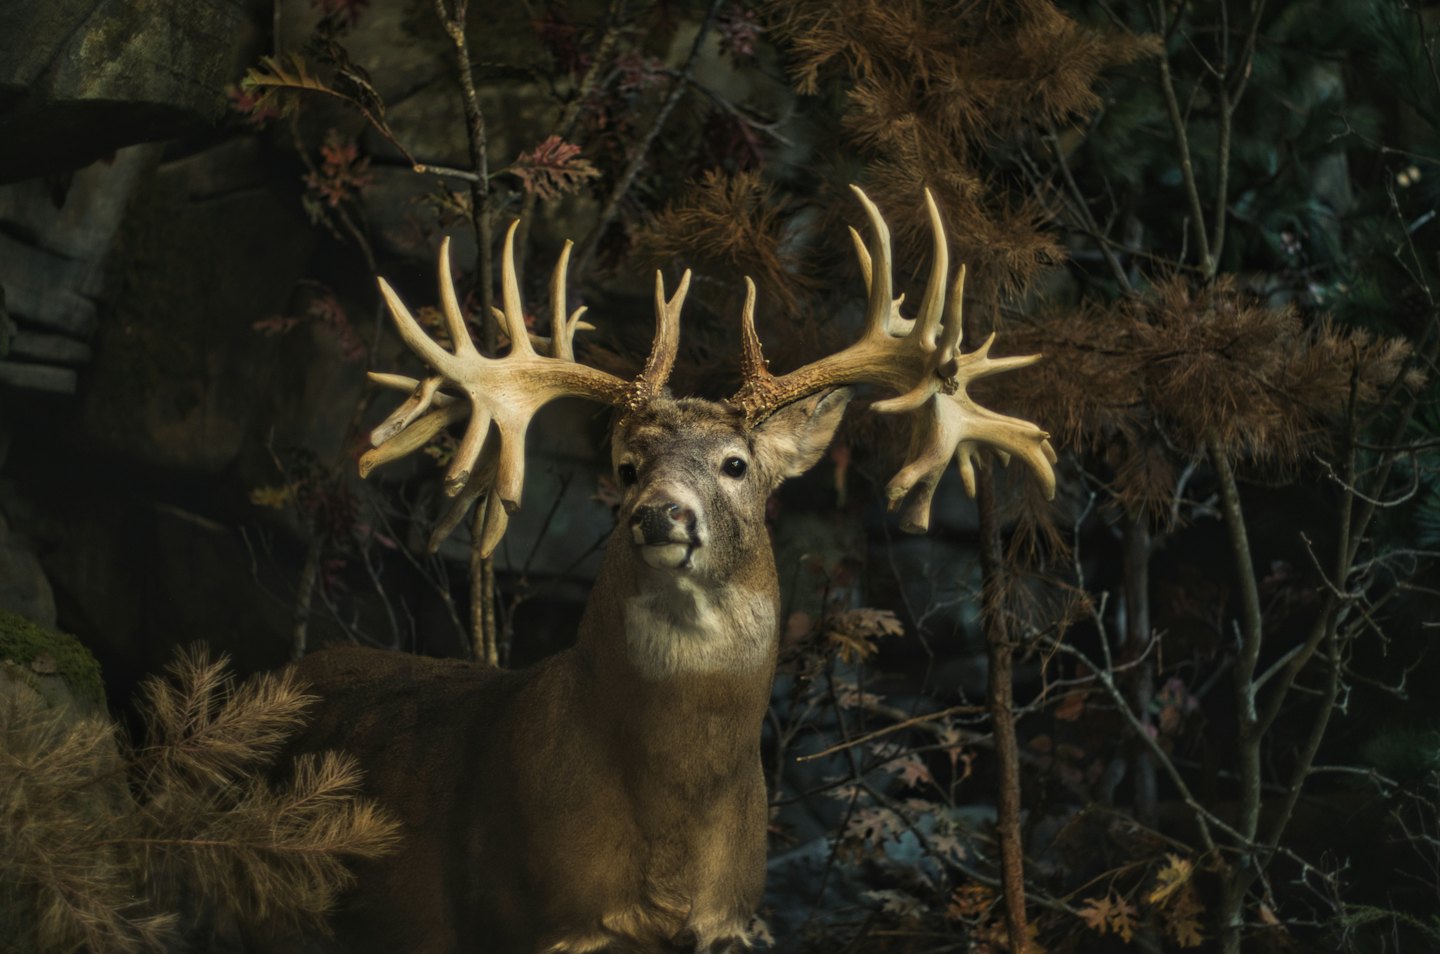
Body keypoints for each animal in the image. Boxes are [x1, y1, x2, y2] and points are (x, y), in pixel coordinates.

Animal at [279, 187, 1058, 954]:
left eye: (736, 464)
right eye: (628, 467)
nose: (660, 514)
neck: (674, 825)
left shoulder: (730, 919)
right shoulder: (535, 919)